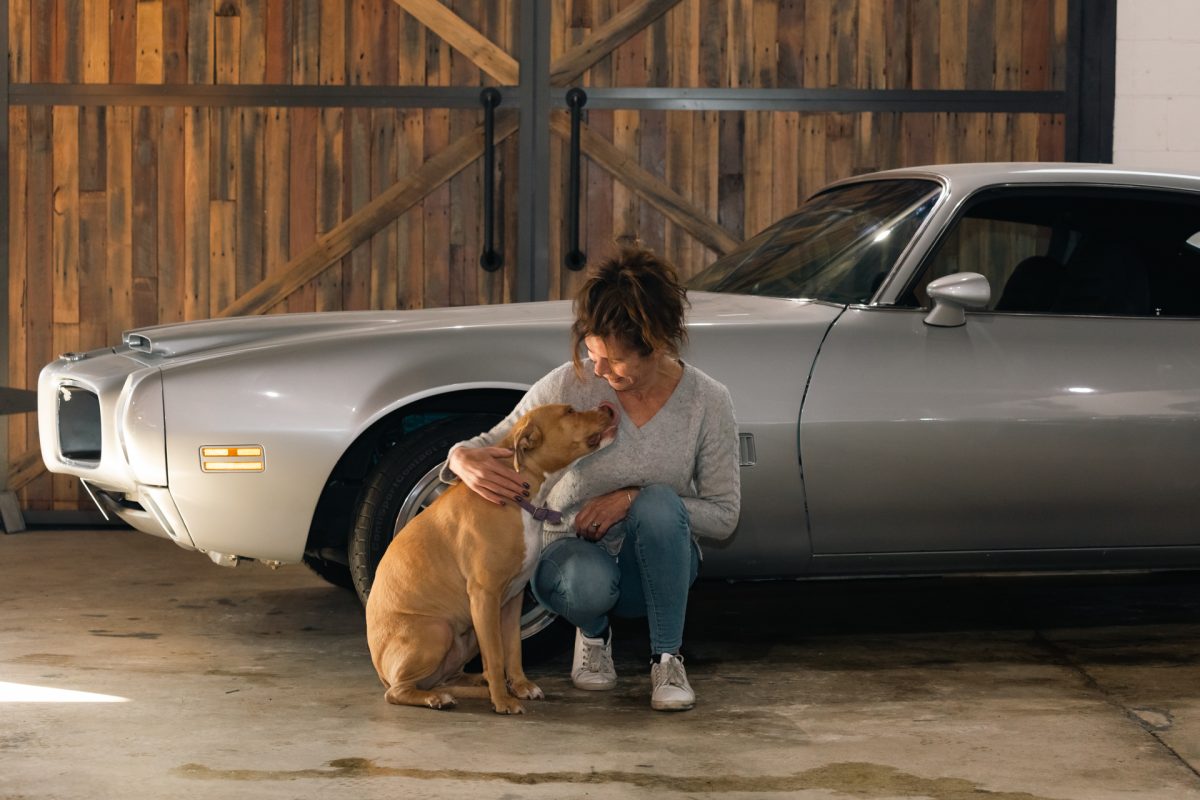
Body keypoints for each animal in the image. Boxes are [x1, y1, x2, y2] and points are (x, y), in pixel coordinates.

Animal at [367, 402, 619, 714]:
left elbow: (512, 650)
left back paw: (473, 684)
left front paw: (521, 687)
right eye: (569, 411)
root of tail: (380, 671)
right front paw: (503, 701)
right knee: (398, 691)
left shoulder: (511, 601)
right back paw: (438, 697)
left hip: (467, 637)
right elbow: (497, 655)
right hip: (438, 630)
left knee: (449, 678)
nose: (608, 406)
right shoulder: (485, 596)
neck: (520, 498)